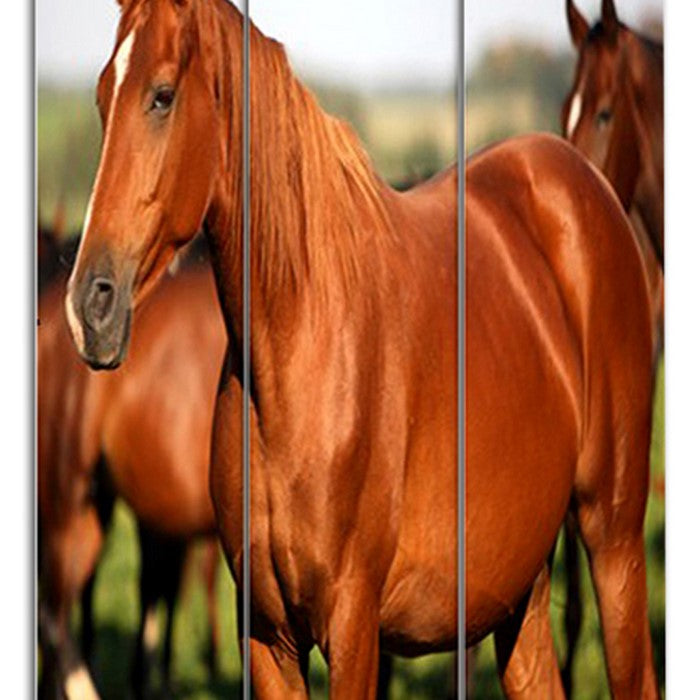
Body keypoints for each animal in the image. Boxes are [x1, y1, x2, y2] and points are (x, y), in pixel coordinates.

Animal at [64, 1, 658, 697]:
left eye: (161, 96)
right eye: (102, 97)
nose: (89, 306)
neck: (298, 349)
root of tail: (581, 183)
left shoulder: (353, 627)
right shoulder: (266, 637)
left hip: (613, 540)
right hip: (519, 591)